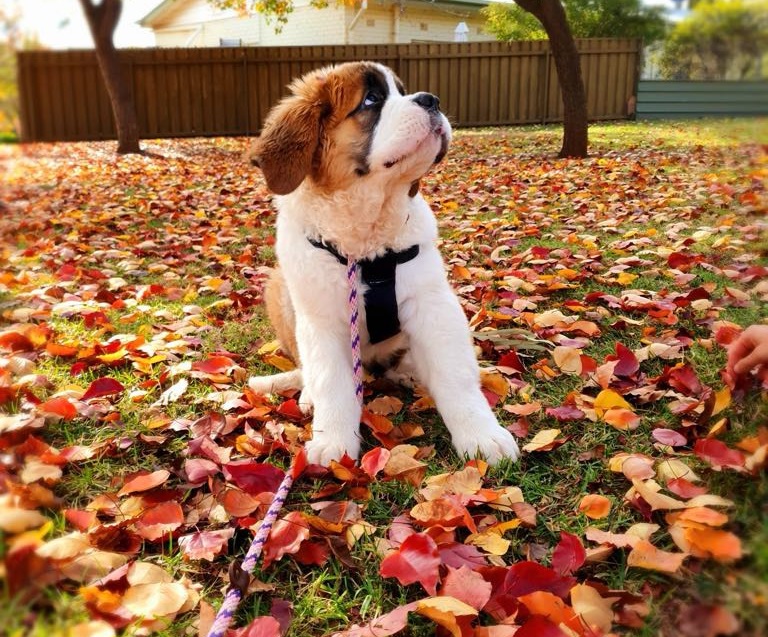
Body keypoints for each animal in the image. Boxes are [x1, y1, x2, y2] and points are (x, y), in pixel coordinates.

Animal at [249, 60, 520, 468]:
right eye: (371, 99)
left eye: (402, 91)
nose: (431, 100)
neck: (365, 246)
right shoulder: (321, 319)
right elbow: (331, 381)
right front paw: (333, 441)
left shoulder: (432, 304)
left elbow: (455, 375)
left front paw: (481, 435)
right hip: (280, 289)